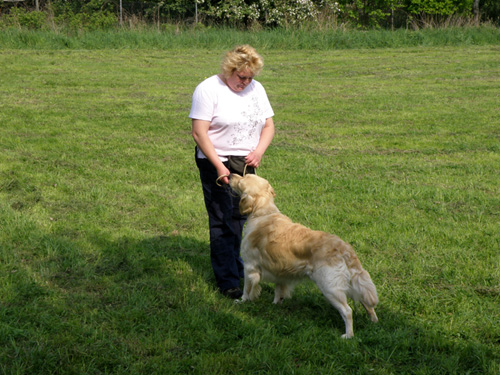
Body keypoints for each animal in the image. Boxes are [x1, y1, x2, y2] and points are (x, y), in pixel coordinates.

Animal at [229, 175, 378, 340]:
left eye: (242, 179)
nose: (230, 175)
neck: (263, 212)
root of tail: (344, 248)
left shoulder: (249, 266)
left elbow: (247, 289)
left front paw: (242, 301)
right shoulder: (280, 271)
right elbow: (278, 290)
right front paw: (275, 304)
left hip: (330, 287)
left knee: (347, 311)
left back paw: (348, 335)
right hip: (349, 283)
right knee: (367, 303)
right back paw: (373, 322)